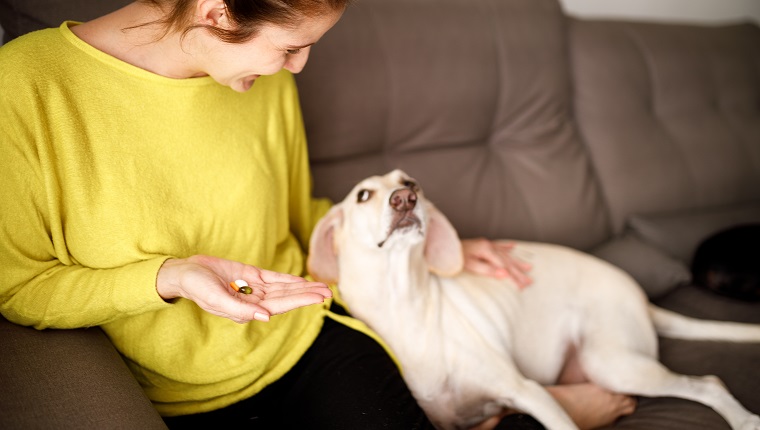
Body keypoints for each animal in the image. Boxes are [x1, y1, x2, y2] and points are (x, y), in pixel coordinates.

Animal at [308, 170, 760, 430]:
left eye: (410, 183)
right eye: (362, 196)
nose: (406, 198)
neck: (406, 306)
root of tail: (639, 294)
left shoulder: (529, 393)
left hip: (613, 363)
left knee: (710, 383)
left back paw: (744, 420)